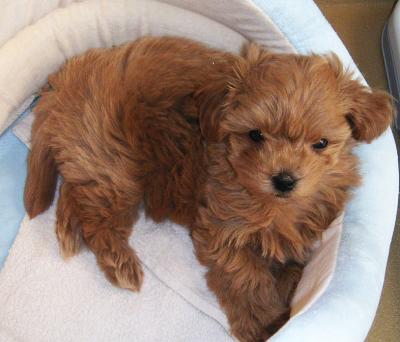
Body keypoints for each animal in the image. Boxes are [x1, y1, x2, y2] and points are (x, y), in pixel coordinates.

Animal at [23, 36, 392, 340]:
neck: (273, 205)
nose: (285, 179)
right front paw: (263, 323)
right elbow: (246, 279)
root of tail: (66, 78)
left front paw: (285, 296)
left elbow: (290, 268)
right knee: (98, 221)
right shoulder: (223, 229)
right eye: (255, 135)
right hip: (114, 165)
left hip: (91, 159)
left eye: (321, 143)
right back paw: (120, 265)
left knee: (75, 191)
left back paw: (68, 230)